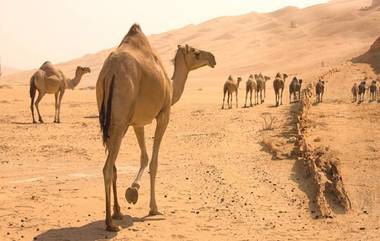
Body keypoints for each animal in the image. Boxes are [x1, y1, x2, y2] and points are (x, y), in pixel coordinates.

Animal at [95, 24, 217, 232]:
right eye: (196, 53)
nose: (213, 58)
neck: (171, 86)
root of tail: (110, 71)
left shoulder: (137, 123)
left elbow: (144, 157)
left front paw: (133, 191)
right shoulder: (163, 115)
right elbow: (154, 162)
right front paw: (153, 208)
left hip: (112, 120)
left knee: (113, 165)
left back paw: (117, 213)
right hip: (120, 120)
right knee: (107, 169)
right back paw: (110, 224)